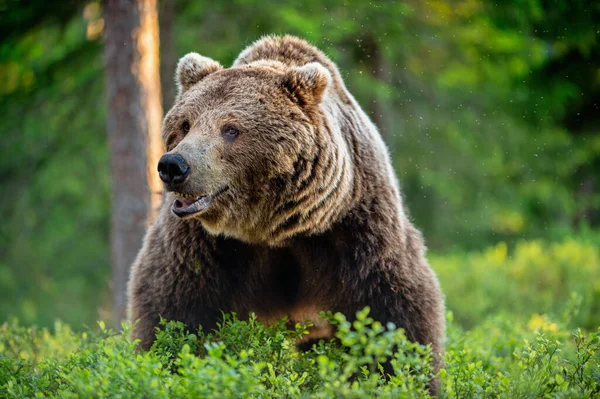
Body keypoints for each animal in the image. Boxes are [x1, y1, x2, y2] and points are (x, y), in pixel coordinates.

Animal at [127, 34, 446, 390]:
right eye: (185, 124)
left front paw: (407, 376)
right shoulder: (201, 245)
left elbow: (395, 316)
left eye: (231, 128)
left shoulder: (355, 232)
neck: (274, 228)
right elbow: (173, 312)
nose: (174, 165)